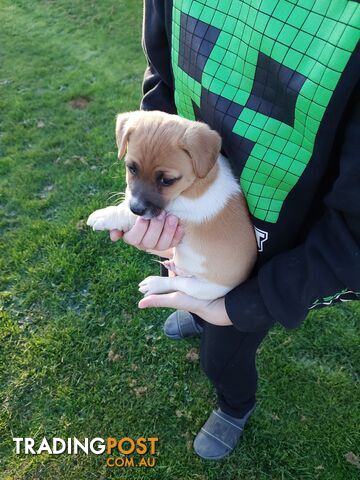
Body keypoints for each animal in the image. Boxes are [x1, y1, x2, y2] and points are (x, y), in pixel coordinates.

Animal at [87, 112, 256, 300]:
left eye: (167, 180)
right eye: (131, 168)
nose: (136, 208)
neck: (195, 183)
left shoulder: (173, 211)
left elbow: (128, 215)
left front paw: (104, 216)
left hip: (201, 288)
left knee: (177, 282)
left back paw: (155, 283)